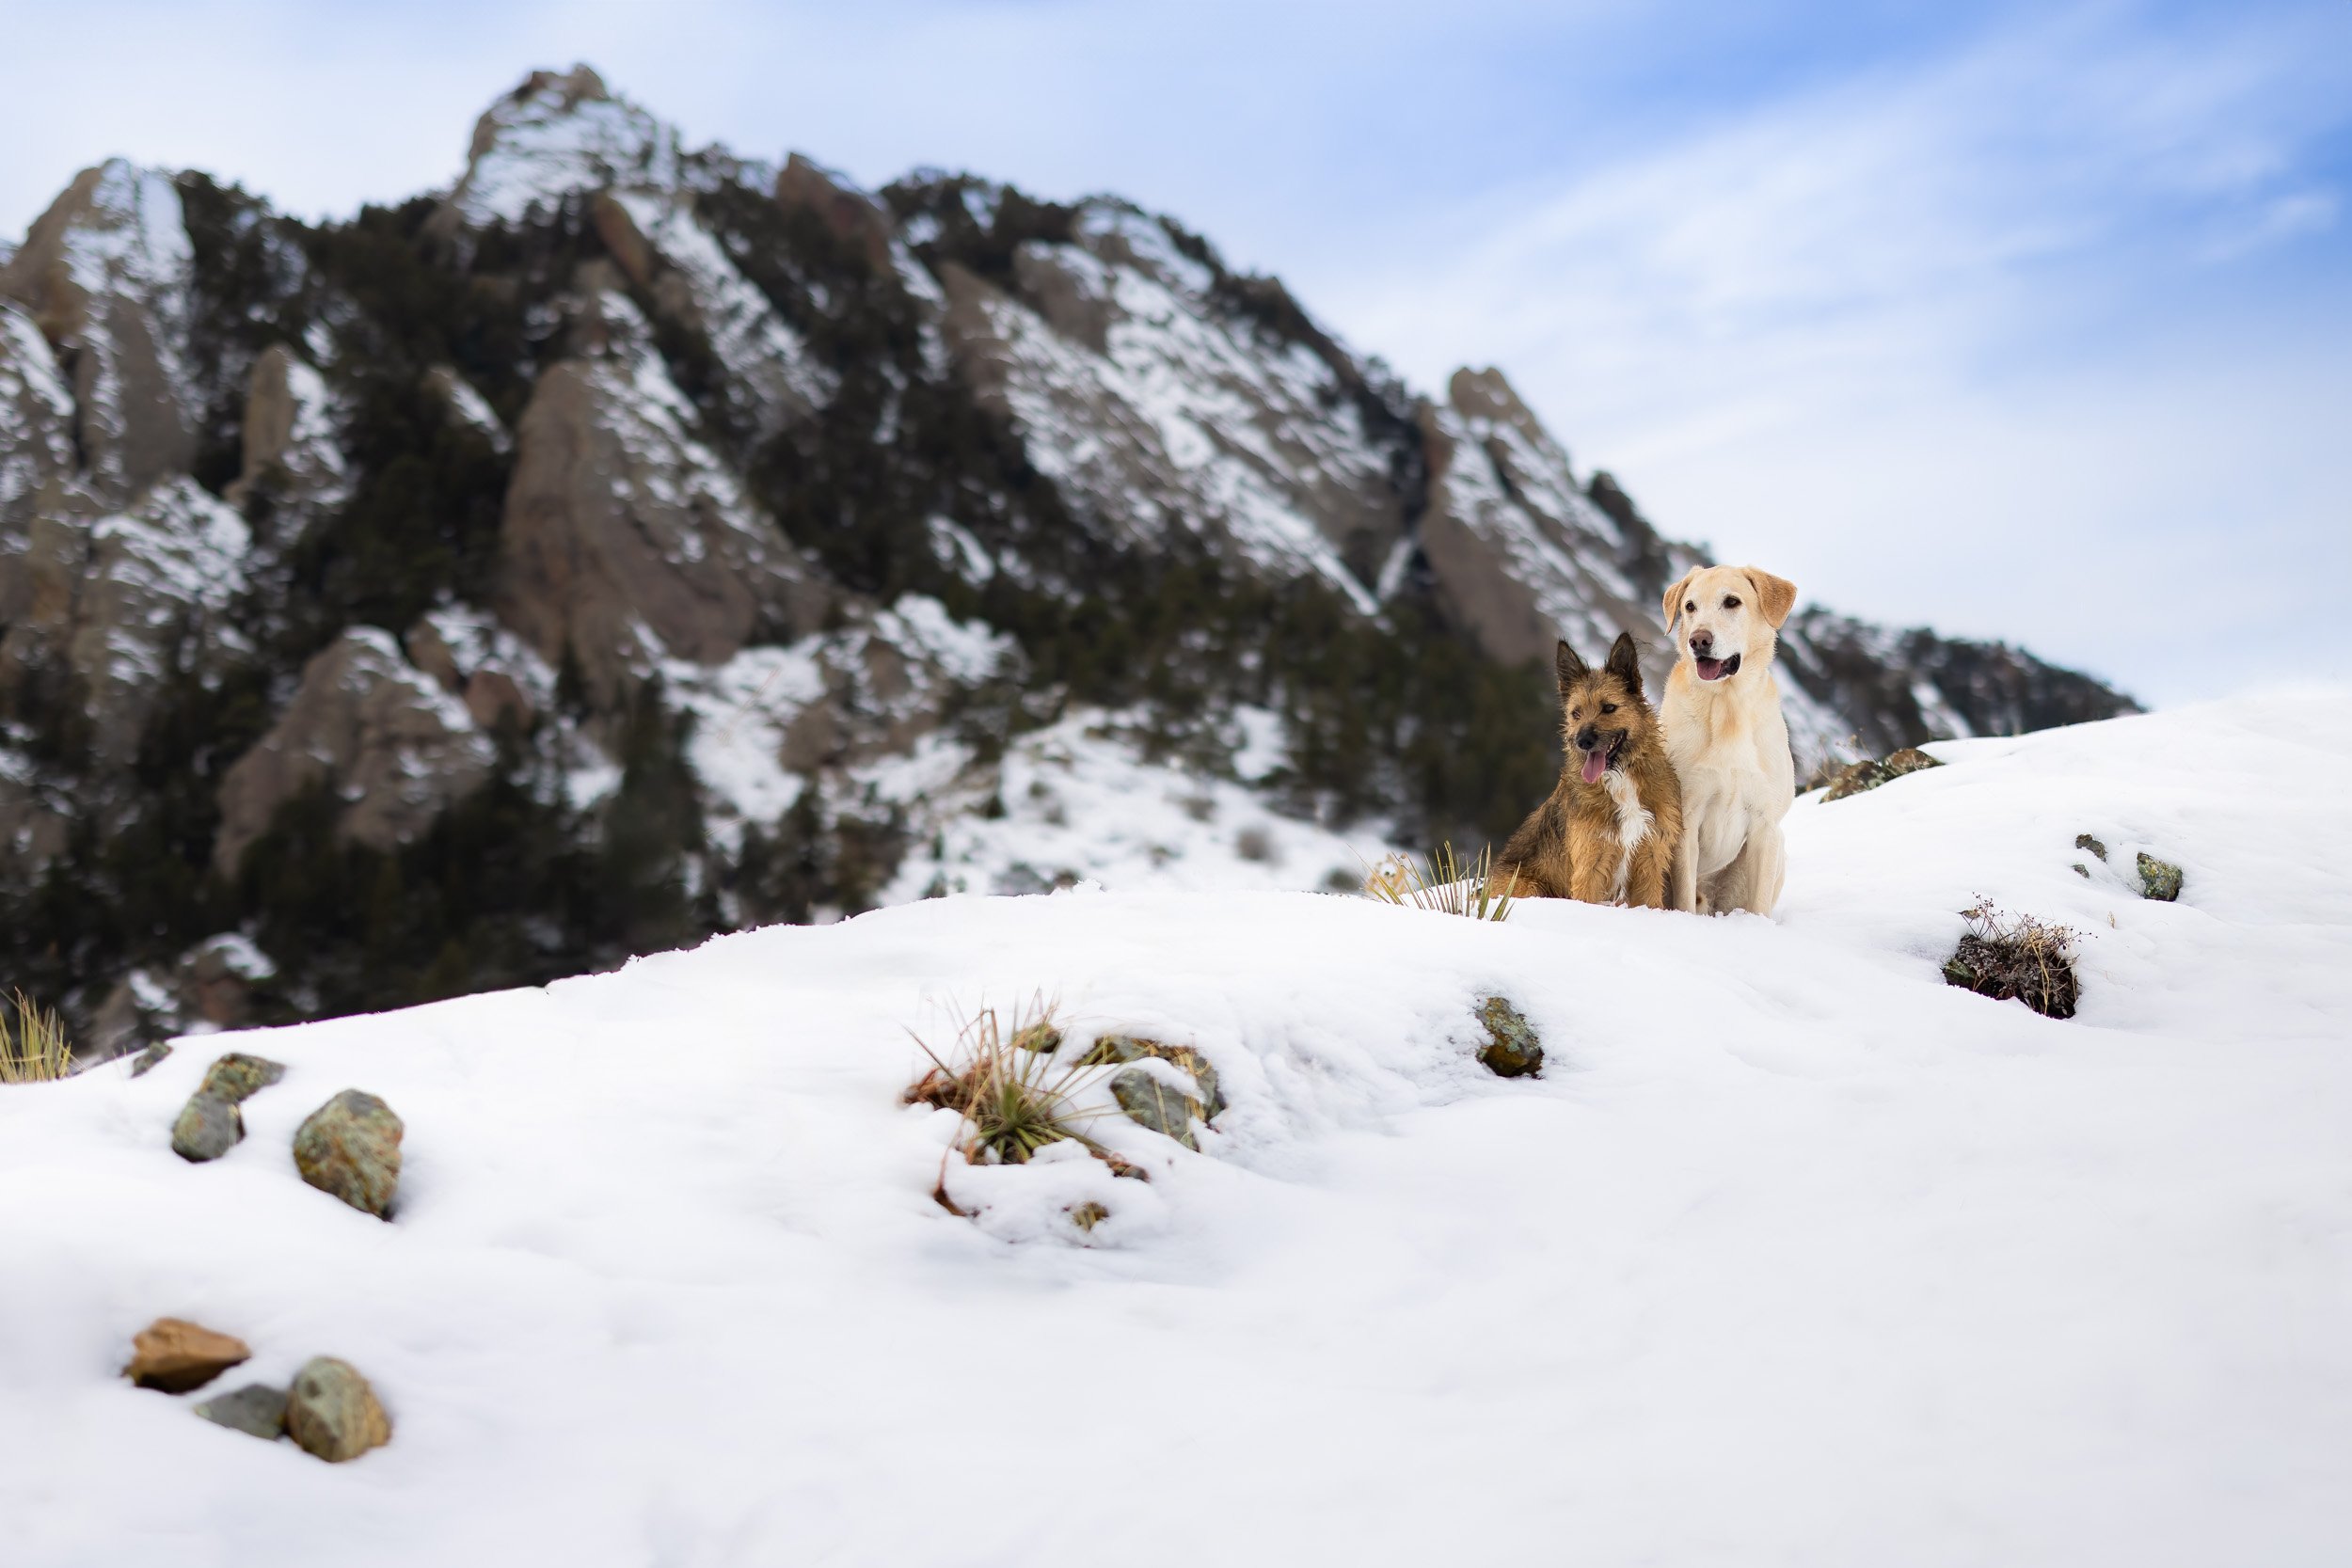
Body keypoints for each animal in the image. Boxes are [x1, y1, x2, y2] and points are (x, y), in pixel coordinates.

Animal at [1496, 629, 1684, 907]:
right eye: (1576, 713)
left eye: (1609, 707)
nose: (1582, 741)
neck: (1620, 778)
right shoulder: (1590, 862)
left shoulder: (1650, 858)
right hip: (1527, 885)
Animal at [1656, 563, 1797, 911]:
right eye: (1690, 606)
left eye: (1732, 602)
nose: (1698, 640)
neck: (1727, 706)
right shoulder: (1686, 817)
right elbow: (1683, 897)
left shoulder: (1765, 824)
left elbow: (1759, 905)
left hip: (1777, 846)